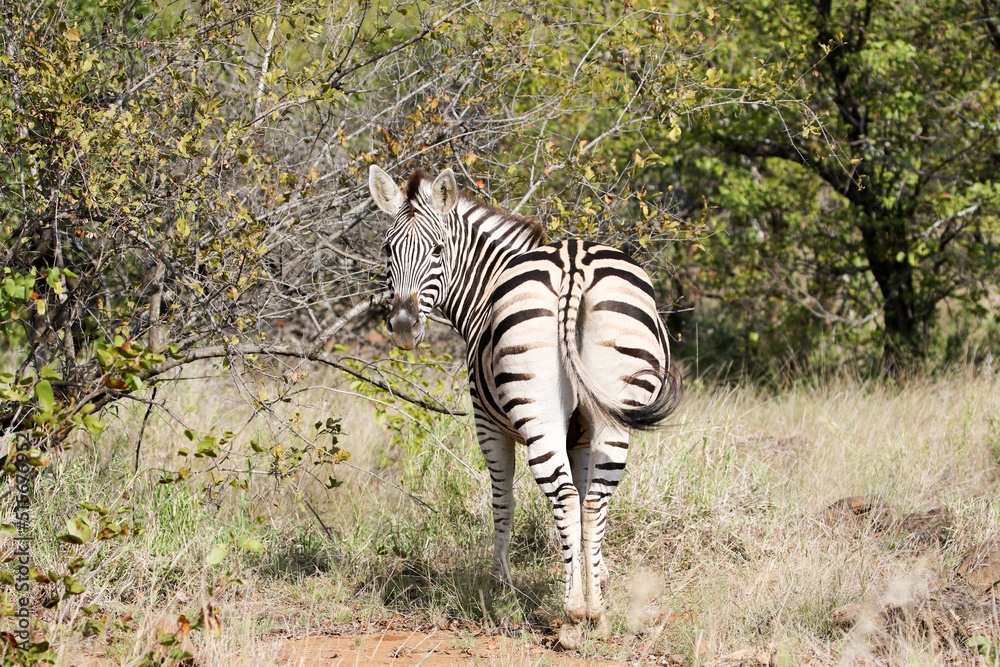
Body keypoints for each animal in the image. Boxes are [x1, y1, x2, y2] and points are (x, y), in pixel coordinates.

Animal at [368, 165, 680, 649]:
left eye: (438, 249)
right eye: (388, 249)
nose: (402, 327)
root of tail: (574, 260)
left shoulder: (487, 425)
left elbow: (503, 499)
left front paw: (500, 582)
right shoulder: (582, 435)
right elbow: (587, 504)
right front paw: (599, 575)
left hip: (537, 414)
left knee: (563, 496)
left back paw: (573, 616)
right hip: (613, 412)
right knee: (591, 499)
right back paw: (595, 613)